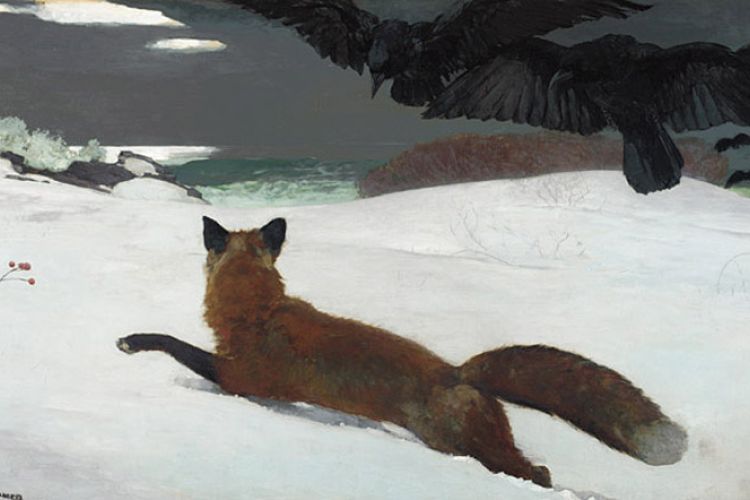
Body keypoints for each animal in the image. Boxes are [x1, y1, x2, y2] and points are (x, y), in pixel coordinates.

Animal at [117, 216, 687, 487]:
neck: (259, 313)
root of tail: (458, 371)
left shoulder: (241, 379)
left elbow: (174, 344)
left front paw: (133, 341)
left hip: (463, 446)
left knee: (535, 475)